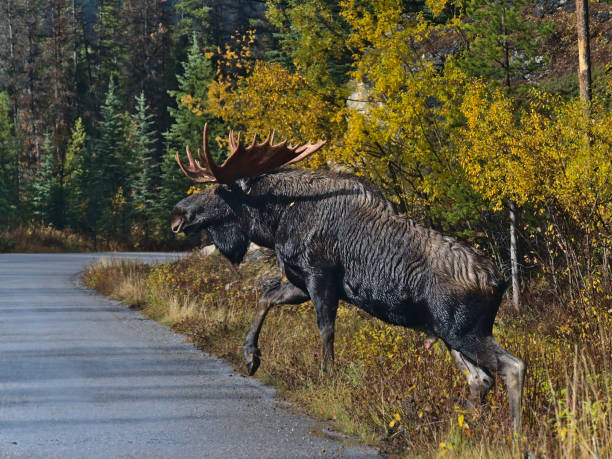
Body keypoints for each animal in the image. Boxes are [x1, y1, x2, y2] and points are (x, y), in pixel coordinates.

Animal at [170, 126, 524, 432]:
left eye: (219, 189)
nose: (177, 215)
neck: (276, 222)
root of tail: (499, 281)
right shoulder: (300, 281)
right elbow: (265, 298)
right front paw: (250, 356)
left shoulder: (320, 276)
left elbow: (326, 332)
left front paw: (327, 379)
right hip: (448, 335)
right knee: (480, 379)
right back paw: (458, 428)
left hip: (464, 330)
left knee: (513, 367)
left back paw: (514, 434)